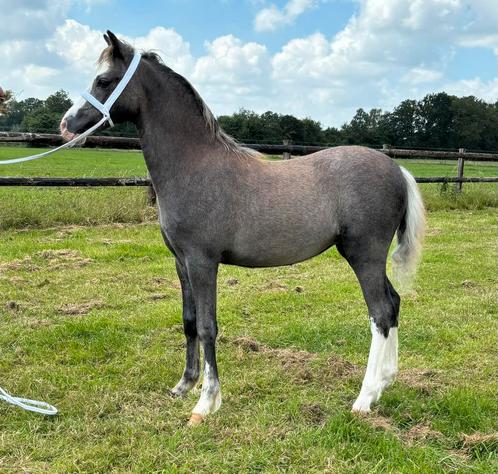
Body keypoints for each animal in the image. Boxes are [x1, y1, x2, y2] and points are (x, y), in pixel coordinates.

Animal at [58, 32, 424, 426]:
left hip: (364, 256)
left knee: (380, 314)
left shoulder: (203, 262)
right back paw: (386, 381)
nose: (66, 125)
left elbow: (208, 327)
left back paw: (364, 398)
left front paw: (206, 403)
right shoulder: (181, 262)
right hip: (368, 258)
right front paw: (184, 386)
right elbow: (189, 321)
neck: (194, 165)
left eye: (104, 80)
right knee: (394, 303)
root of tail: (397, 169)